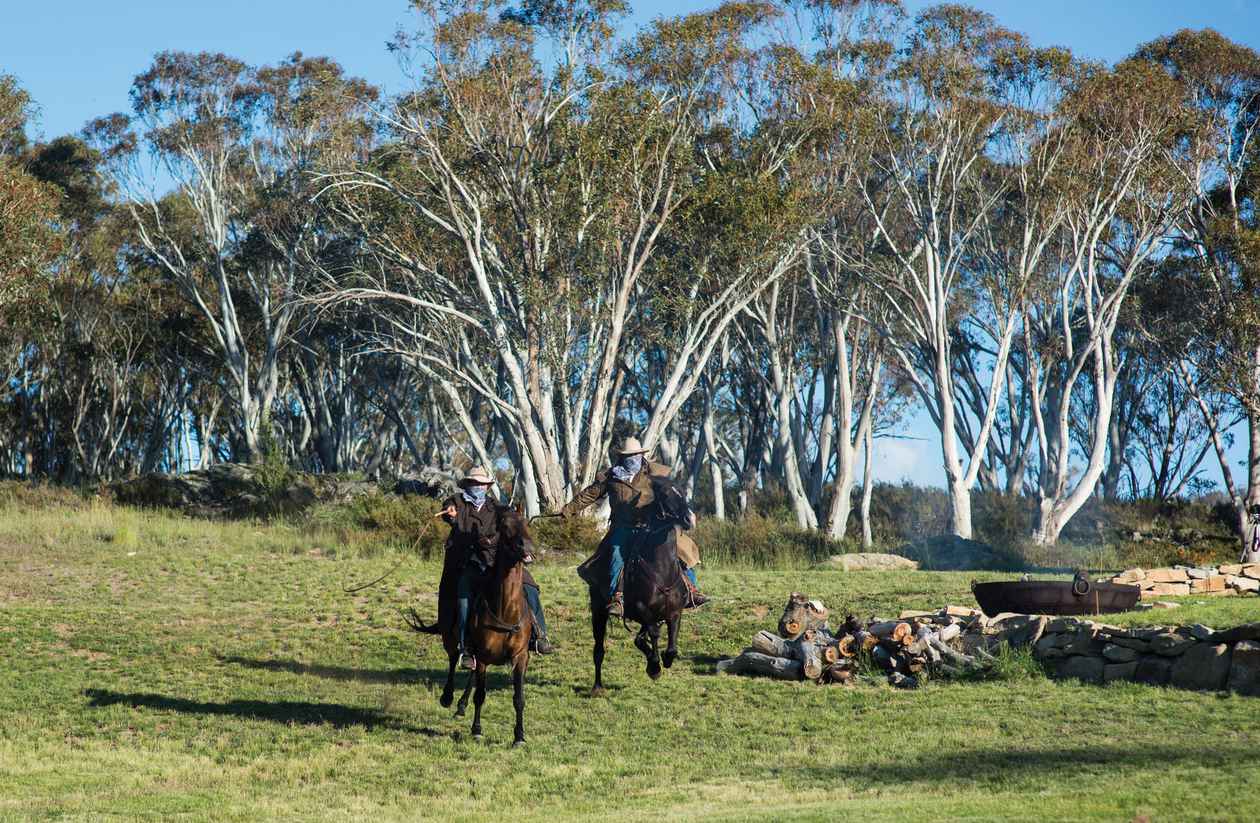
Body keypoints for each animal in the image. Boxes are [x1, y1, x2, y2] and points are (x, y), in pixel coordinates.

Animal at [408, 504, 531, 741]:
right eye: (504, 526)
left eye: (526, 523)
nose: (526, 546)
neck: (506, 611)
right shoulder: (483, 656)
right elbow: (480, 695)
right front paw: (477, 730)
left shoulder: (520, 657)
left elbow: (519, 698)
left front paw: (519, 736)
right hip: (452, 637)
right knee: (454, 658)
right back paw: (448, 697)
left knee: (469, 670)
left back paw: (461, 705)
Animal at [587, 473, 695, 695]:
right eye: (665, 494)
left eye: (682, 491)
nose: (689, 519)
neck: (661, 570)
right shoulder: (643, 610)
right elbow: (653, 634)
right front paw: (654, 667)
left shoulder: (675, 611)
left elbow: (671, 645)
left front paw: (666, 660)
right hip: (598, 612)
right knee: (599, 650)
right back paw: (597, 687)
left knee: (639, 638)